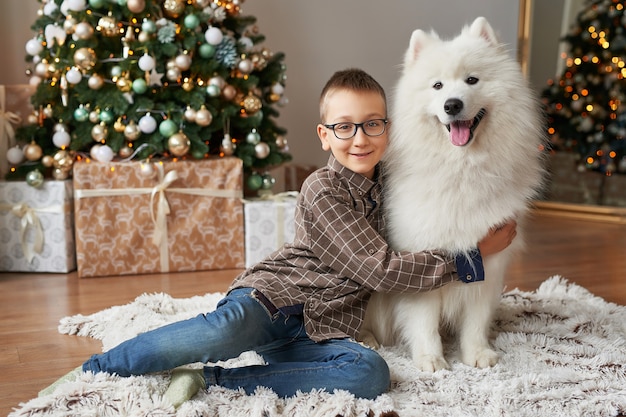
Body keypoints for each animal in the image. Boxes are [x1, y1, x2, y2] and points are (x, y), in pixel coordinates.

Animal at [358, 17, 544, 372]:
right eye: (437, 86)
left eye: (472, 80)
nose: (452, 104)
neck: (461, 169)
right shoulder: (419, 259)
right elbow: (424, 322)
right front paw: (431, 359)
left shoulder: (486, 264)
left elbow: (475, 322)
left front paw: (476, 354)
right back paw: (367, 339)